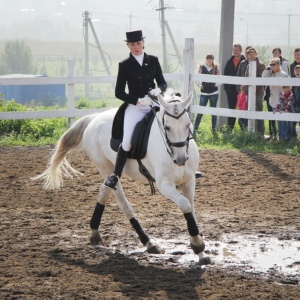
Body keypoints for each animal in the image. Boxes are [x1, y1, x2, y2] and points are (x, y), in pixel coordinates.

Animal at [32, 89, 211, 264]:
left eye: (188, 125)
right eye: (167, 127)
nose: (180, 160)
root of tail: (94, 118)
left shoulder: (189, 181)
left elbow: (191, 209)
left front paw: (201, 253)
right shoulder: (164, 185)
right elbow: (185, 205)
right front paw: (197, 245)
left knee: (104, 190)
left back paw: (95, 233)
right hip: (105, 167)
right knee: (122, 202)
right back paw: (149, 242)